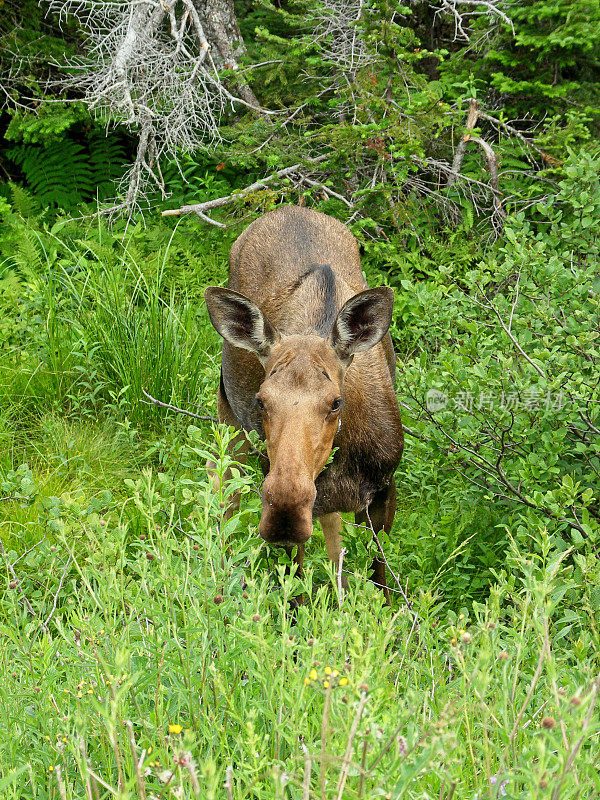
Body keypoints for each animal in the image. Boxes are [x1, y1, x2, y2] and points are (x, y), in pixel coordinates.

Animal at [205, 206, 404, 600]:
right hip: (229, 424)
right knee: (225, 504)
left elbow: (381, 579)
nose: (285, 510)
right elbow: (296, 588)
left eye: (335, 402)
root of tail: (287, 209)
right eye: (261, 400)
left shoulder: (383, 489)